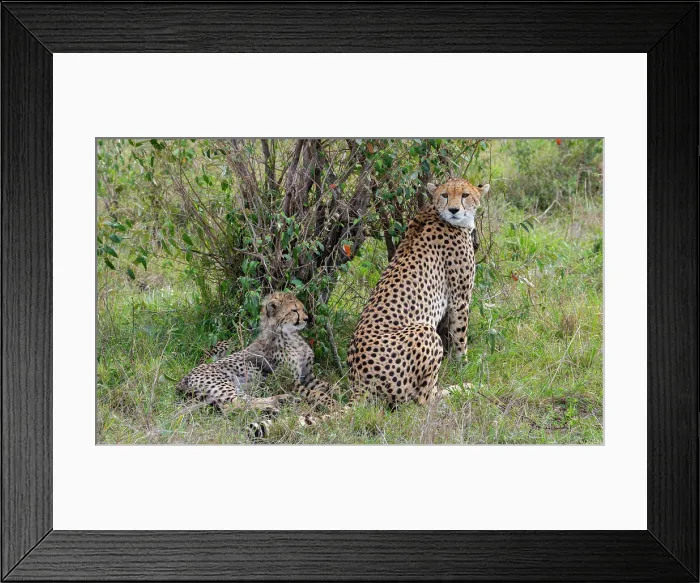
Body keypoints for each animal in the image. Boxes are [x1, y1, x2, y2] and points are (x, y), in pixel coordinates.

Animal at [176, 291, 336, 436]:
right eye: (294, 310)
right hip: (223, 384)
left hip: (238, 386)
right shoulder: (288, 382)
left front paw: (337, 392)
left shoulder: (308, 376)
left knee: (243, 400)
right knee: (234, 405)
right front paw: (331, 402)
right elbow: (315, 392)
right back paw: (275, 406)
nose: (306, 319)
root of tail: (184, 377)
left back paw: (281, 400)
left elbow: (327, 385)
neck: (290, 335)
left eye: (303, 309)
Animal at [302, 178, 489, 426]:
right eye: (445, 195)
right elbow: (460, 337)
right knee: (422, 401)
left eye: (465, 195)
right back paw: (461, 389)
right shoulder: (460, 297)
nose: (453, 210)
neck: (434, 212)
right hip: (424, 331)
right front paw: (463, 367)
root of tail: (359, 384)